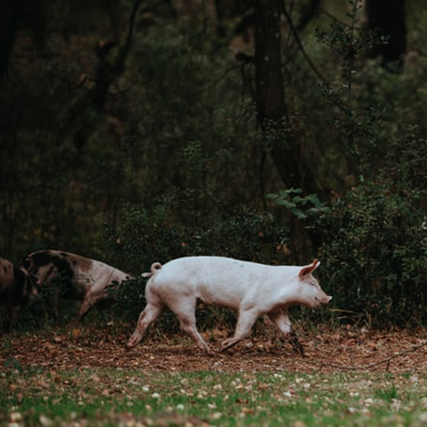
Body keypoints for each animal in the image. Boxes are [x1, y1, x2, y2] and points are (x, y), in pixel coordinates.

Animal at [127, 258, 332, 354]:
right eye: (312, 283)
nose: (329, 298)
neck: (280, 290)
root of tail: (159, 271)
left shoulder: (276, 310)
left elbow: (288, 330)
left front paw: (302, 352)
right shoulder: (250, 307)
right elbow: (243, 330)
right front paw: (224, 346)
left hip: (155, 301)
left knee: (143, 318)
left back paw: (130, 344)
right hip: (182, 299)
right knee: (187, 326)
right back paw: (210, 351)